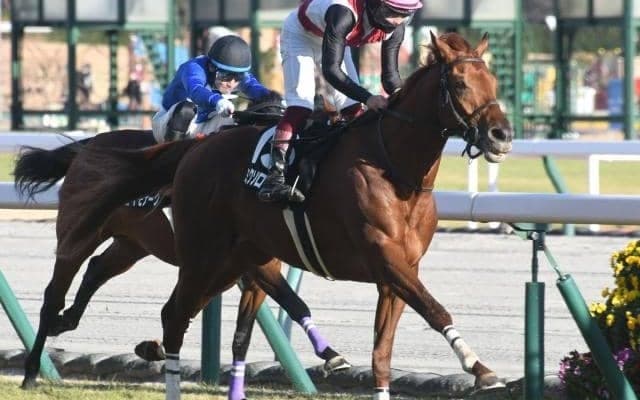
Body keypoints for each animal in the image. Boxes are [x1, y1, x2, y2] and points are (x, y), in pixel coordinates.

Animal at [15, 95, 350, 397]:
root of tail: (88, 146)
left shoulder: (241, 269)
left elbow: (247, 329)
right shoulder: (244, 266)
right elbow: (288, 302)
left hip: (132, 243)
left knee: (98, 268)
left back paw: (67, 321)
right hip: (79, 234)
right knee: (54, 295)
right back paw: (31, 371)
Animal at [57, 32, 513, 399]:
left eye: (493, 82)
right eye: (459, 83)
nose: (501, 135)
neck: (395, 169)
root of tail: (196, 148)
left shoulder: (397, 274)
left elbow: (382, 355)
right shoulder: (385, 258)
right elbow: (436, 310)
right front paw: (480, 368)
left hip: (233, 261)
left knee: (181, 312)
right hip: (203, 256)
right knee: (173, 314)